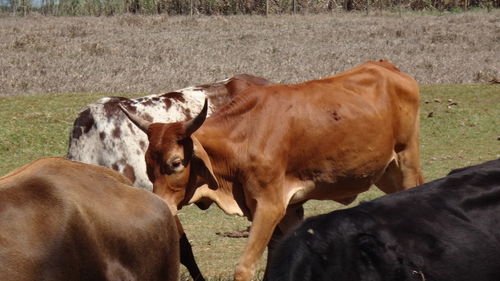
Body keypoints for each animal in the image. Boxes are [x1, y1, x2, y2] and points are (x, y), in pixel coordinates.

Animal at [120, 59, 422, 280]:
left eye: (176, 163)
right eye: (148, 164)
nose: (160, 205)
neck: (244, 136)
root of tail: (388, 67)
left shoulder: (271, 205)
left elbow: (245, 267)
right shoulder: (288, 209)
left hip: (406, 161)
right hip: (386, 173)